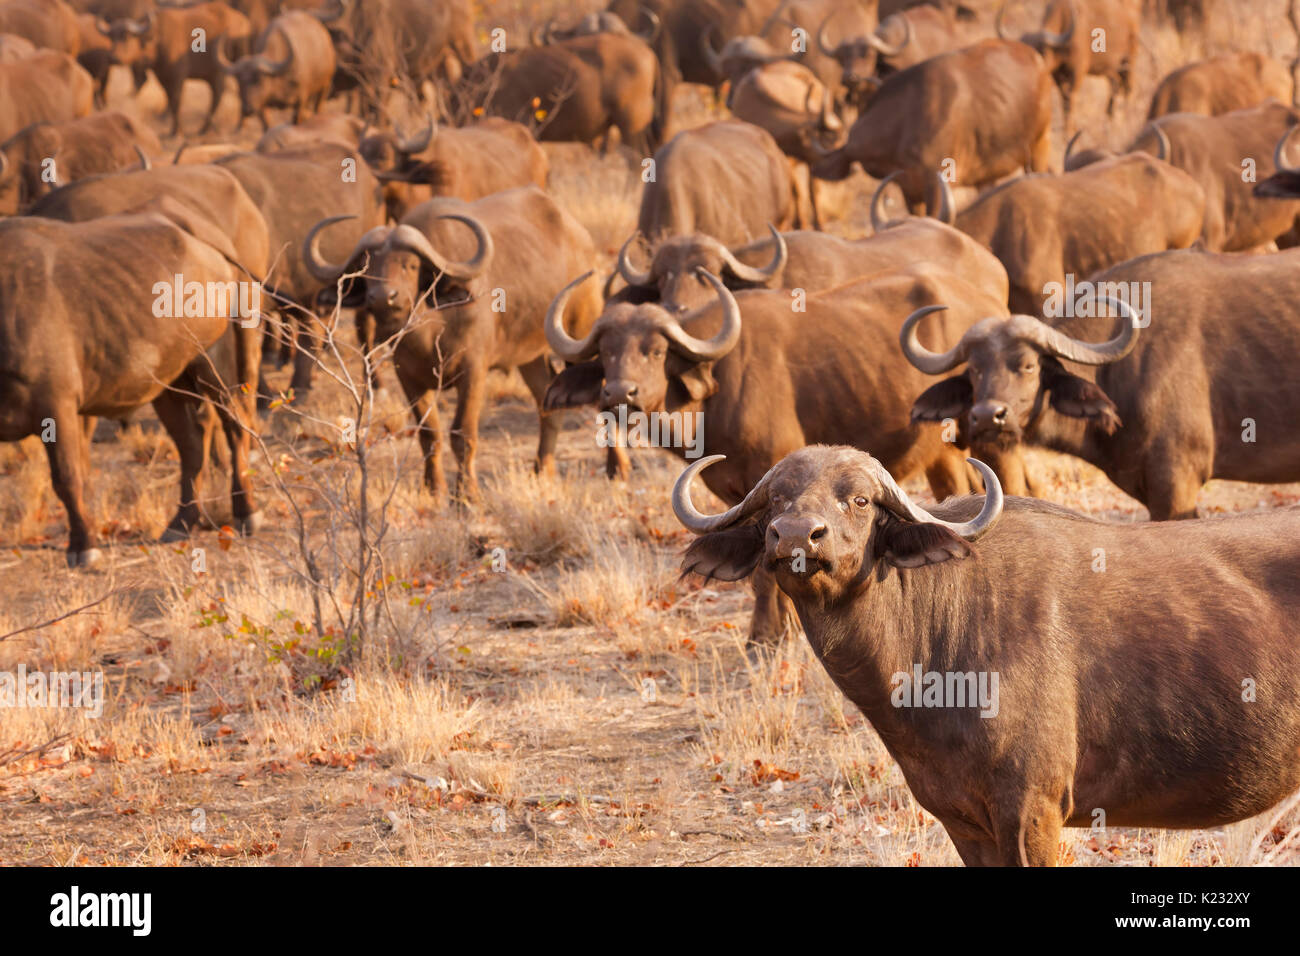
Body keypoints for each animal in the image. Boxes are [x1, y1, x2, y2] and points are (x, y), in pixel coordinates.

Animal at [0, 213, 261, 564]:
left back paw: (246, 512)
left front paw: (84, 545)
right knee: (192, 444)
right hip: (168, 383)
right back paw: (180, 522)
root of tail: (207, 242)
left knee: (236, 427)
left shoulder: (56, 405)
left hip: (214, 363)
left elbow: (67, 477)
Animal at [543, 261, 1008, 642]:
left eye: (655, 351)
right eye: (606, 353)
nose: (620, 394)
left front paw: (765, 634)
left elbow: (766, 577)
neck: (719, 387)